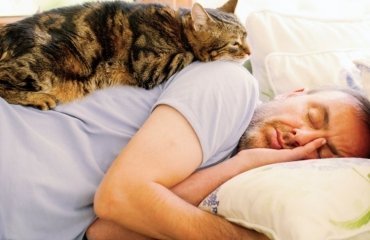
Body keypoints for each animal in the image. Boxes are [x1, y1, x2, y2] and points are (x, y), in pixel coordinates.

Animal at [0, 0, 250, 109]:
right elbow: (189, 54)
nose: (249, 52)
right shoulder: (149, 67)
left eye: (247, 36)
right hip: (43, 64)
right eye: (234, 44)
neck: (176, 26)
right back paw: (39, 98)